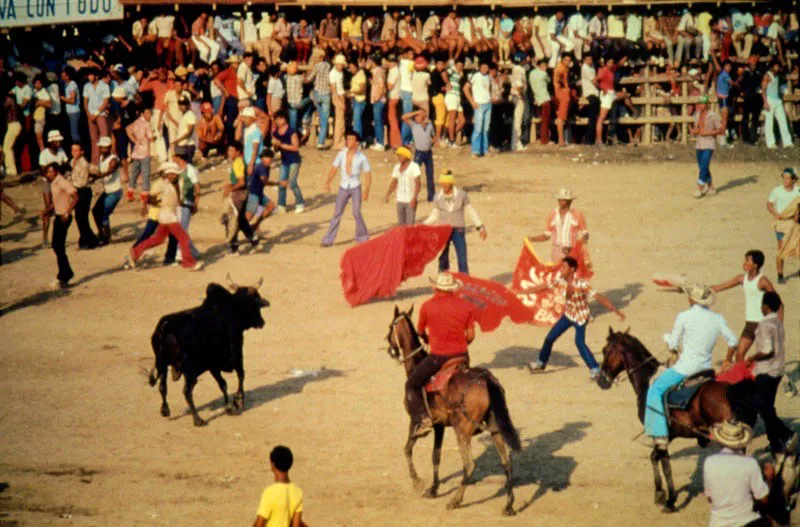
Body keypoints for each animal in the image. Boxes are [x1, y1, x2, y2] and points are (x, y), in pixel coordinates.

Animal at [150, 278, 272, 426]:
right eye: (255, 302)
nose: (262, 322)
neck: (233, 308)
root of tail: (165, 326)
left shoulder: (213, 365)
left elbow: (223, 384)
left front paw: (229, 407)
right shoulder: (236, 355)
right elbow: (241, 375)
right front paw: (239, 401)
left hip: (162, 365)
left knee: (162, 387)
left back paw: (165, 410)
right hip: (189, 371)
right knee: (186, 391)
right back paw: (198, 419)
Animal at [384, 306, 520, 516]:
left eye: (391, 327)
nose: (390, 348)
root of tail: (486, 380)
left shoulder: (415, 422)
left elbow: (407, 449)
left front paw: (418, 483)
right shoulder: (439, 426)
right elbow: (436, 456)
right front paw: (433, 489)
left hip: (462, 431)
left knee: (469, 465)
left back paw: (455, 501)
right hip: (495, 429)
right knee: (507, 462)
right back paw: (508, 505)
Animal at [592, 328, 732, 512]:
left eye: (605, 350)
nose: (600, 381)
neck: (647, 381)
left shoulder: (659, 434)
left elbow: (663, 463)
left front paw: (669, 499)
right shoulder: (667, 435)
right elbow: (655, 457)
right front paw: (661, 494)